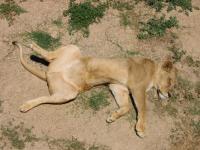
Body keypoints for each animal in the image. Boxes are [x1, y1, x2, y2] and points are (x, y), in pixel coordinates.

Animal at [13, 41, 177, 138]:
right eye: (170, 82)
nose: (170, 95)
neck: (153, 71)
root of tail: (50, 73)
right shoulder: (137, 88)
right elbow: (142, 108)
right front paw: (141, 128)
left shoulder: (118, 87)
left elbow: (126, 107)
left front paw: (113, 117)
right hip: (73, 48)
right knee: (48, 55)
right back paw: (33, 47)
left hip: (69, 93)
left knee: (46, 96)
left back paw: (26, 105)